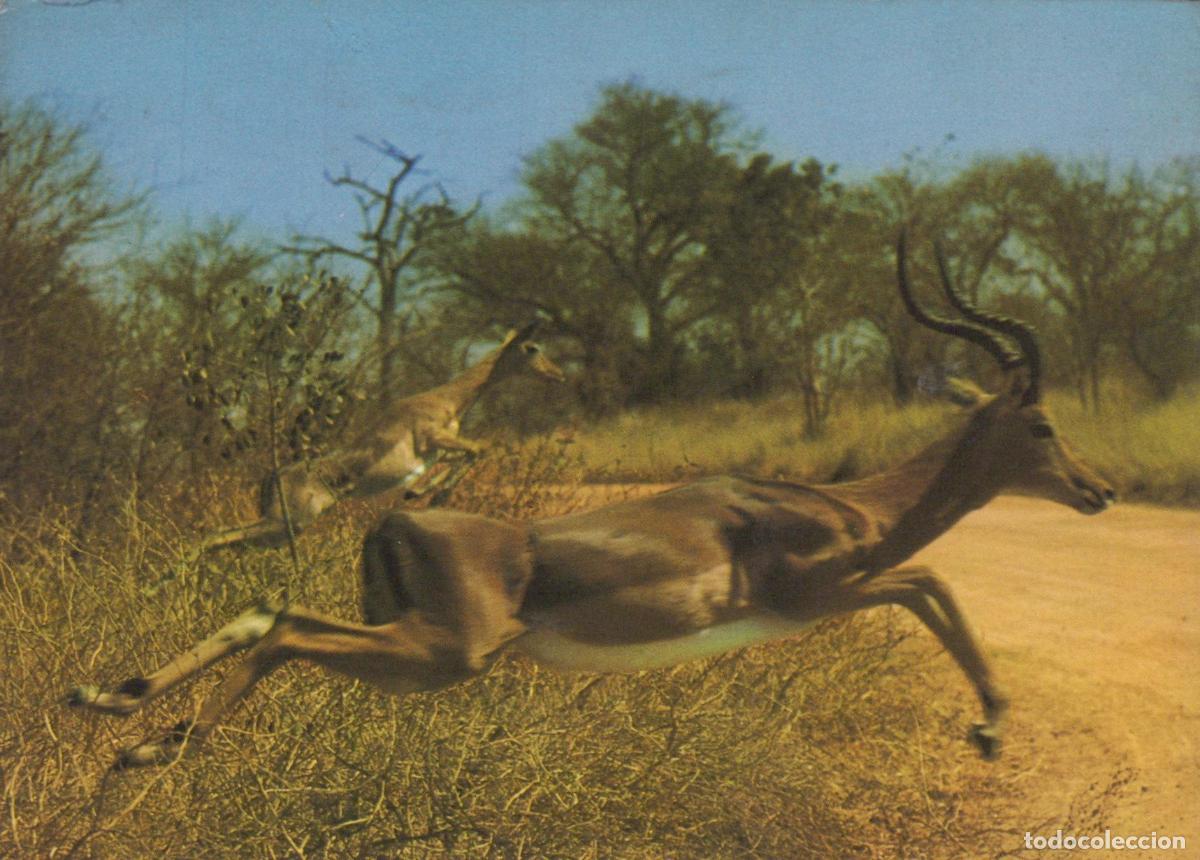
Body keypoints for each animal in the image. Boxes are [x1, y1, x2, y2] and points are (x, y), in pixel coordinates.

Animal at [197, 321, 566, 554]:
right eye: (532, 347)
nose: (559, 373)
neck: (446, 401)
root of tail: (271, 477)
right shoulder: (432, 440)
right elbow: (480, 447)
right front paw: (425, 492)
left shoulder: (439, 451)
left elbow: (473, 451)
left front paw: (425, 493)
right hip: (285, 523)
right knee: (211, 537)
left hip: (281, 530)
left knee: (223, 541)